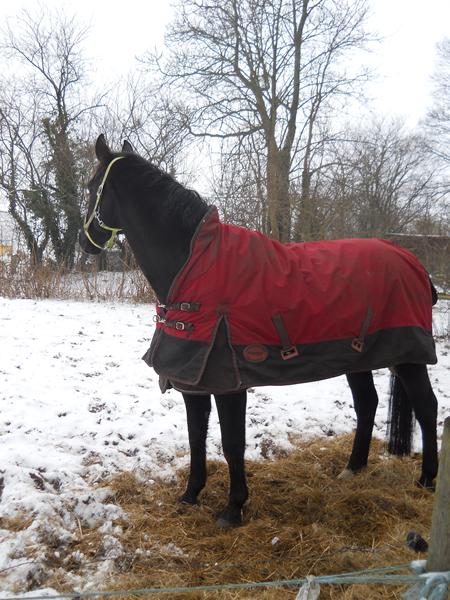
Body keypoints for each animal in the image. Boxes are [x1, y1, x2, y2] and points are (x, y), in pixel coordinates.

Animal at [79, 134, 438, 528]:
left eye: (93, 186)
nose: (84, 242)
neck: (194, 265)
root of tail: (412, 261)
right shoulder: (194, 382)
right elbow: (195, 436)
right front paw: (190, 495)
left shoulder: (229, 383)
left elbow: (232, 442)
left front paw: (233, 508)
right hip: (355, 358)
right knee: (367, 404)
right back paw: (352, 469)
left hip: (410, 358)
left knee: (427, 408)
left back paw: (427, 480)